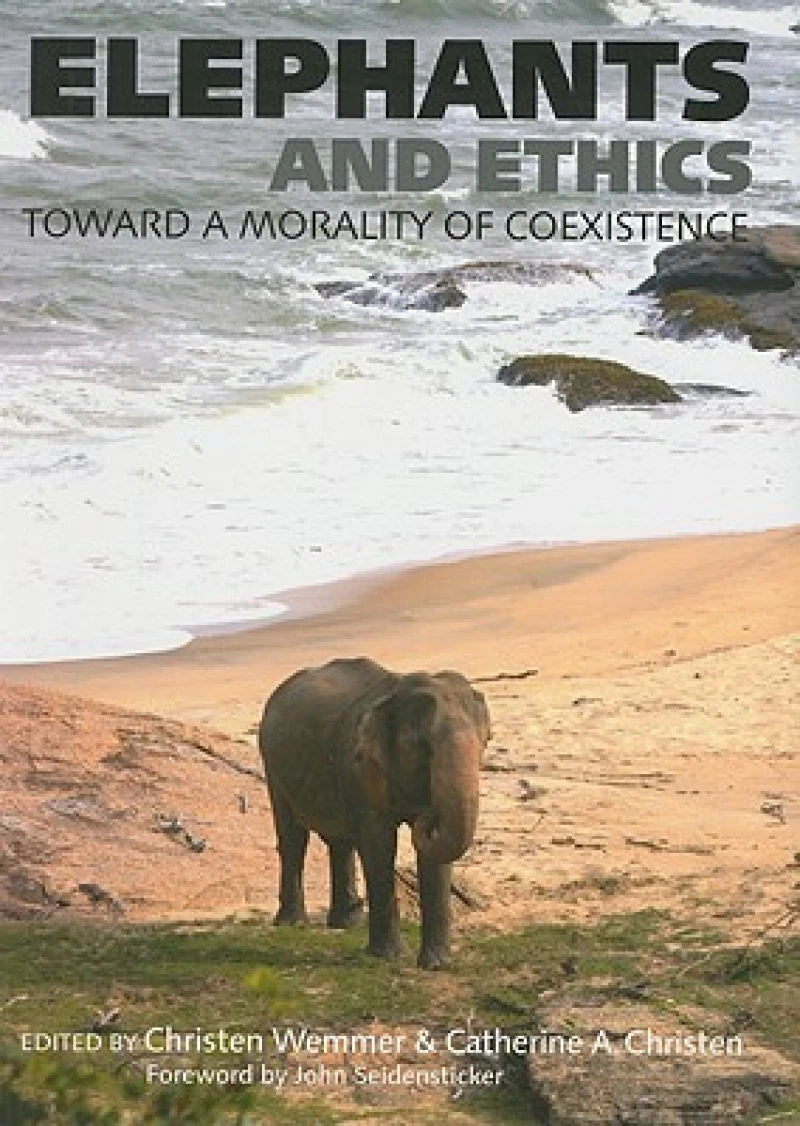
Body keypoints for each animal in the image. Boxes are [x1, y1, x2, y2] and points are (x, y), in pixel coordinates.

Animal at [258, 657, 491, 969]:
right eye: (423, 748)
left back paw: (346, 923)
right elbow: (378, 840)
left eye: (484, 741)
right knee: (294, 837)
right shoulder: (362, 764)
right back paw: (292, 924)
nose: (427, 816)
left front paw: (437, 965)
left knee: (339, 841)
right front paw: (386, 956)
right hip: (271, 766)